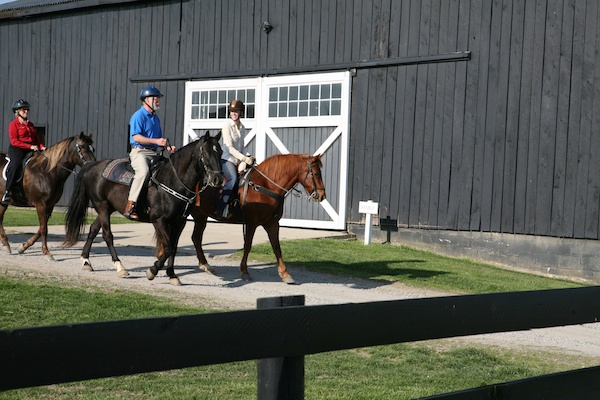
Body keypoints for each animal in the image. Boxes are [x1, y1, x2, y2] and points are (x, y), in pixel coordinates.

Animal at [0, 132, 95, 260]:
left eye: (92, 149)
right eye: (83, 149)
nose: (93, 166)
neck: (46, 172)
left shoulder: (50, 206)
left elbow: (41, 228)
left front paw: (23, 247)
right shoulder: (41, 205)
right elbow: (44, 229)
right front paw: (47, 252)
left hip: (3, 203)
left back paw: (6, 244)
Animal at [62, 131, 223, 284]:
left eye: (220, 152)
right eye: (206, 153)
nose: (218, 179)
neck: (173, 181)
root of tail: (92, 165)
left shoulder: (179, 222)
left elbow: (174, 248)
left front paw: (172, 275)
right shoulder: (159, 220)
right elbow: (168, 247)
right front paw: (153, 270)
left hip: (108, 208)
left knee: (93, 229)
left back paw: (86, 260)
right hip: (102, 207)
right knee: (107, 235)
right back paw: (120, 267)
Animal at [190, 153, 326, 284]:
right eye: (316, 173)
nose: (322, 195)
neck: (265, 186)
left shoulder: (272, 224)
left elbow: (276, 247)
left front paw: (285, 274)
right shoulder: (252, 223)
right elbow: (248, 245)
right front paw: (245, 271)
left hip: (200, 216)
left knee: (196, 238)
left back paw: (205, 264)